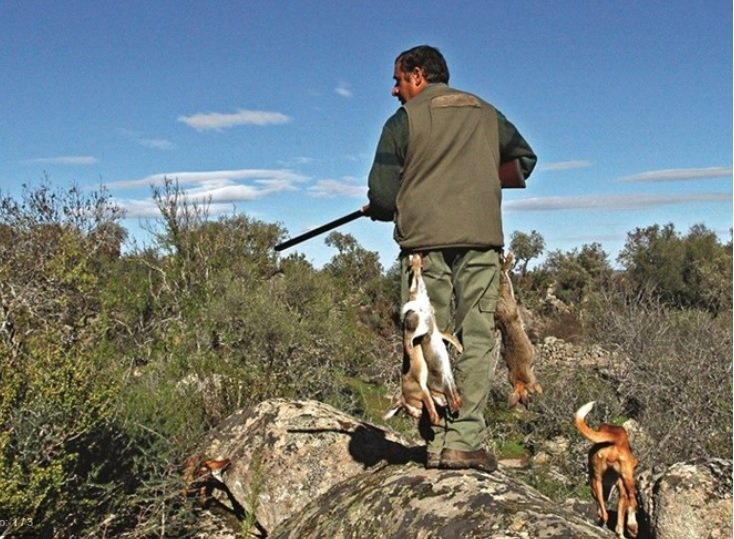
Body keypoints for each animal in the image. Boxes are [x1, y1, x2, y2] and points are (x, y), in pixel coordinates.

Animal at [498, 253, 544, 410]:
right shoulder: (531, 378)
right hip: (508, 296)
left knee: (503, 273)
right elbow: (536, 384)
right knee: (504, 273)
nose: (530, 403)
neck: (519, 381)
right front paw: (540, 390)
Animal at [576, 402, 640, 536]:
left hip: (597, 482)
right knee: (632, 501)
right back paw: (632, 527)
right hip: (627, 479)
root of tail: (617, 439)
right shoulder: (621, 492)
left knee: (605, 514)